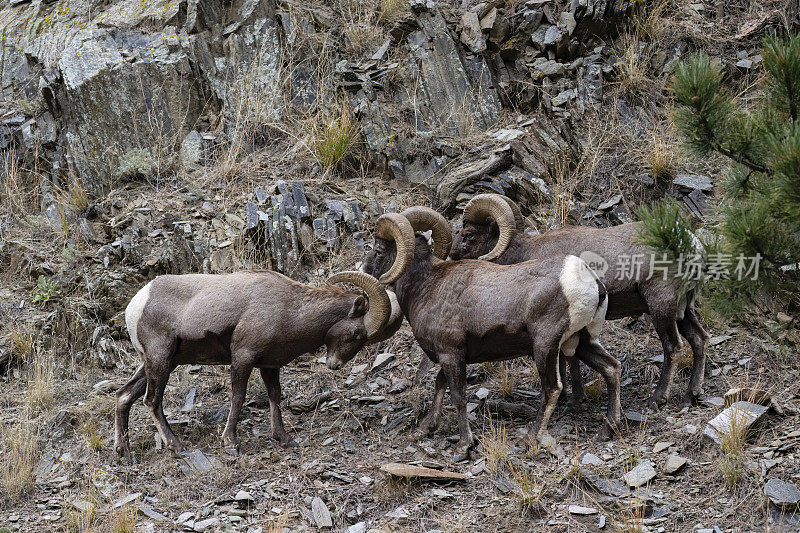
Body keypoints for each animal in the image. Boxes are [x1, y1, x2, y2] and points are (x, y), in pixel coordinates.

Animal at [114, 268, 400, 460]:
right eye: (357, 334)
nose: (335, 365)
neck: (290, 308)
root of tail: (135, 305)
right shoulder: (243, 358)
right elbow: (238, 398)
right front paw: (231, 443)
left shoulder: (269, 366)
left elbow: (275, 396)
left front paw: (284, 439)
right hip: (161, 361)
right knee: (151, 401)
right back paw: (177, 446)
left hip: (157, 364)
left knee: (124, 396)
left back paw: (124, 452)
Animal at [362, 206, 620, 456]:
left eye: (379, 250)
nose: (363, 268)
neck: (425, 286)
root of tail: (593, 284)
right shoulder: (452, 355)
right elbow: (439, 384)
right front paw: (425, 429)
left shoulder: (450, 354)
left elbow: (457, 396)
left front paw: (464, 445)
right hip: (581, 341)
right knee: (611, 369)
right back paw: (607, 431)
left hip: (545, 347)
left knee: (552, 389)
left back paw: (529, 439)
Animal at [450, 193, 712, 406]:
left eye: (468, 234)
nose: (451, 257)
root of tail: (690, 244)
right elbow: (570, 358)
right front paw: (574, 396)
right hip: (682, 310)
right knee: (699, 338)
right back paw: (691, 395)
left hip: (661, 306)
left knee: (673, 347)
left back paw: (658, 399)